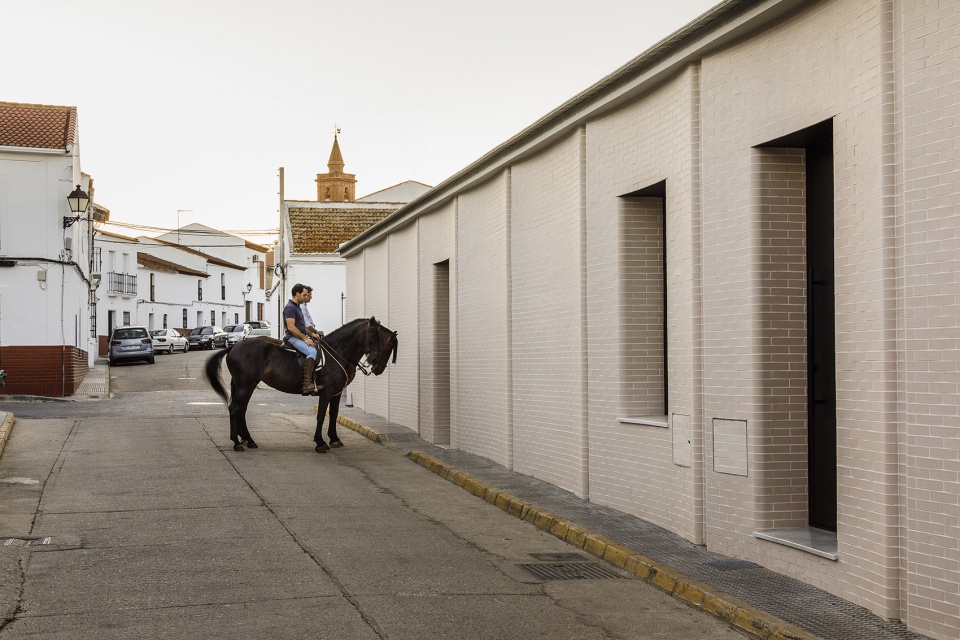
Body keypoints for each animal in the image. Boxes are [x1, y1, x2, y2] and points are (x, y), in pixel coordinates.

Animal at [202, 318, 398, 452]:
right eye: (387, 344)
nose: (378, 367)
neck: (338, 351)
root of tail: (234, 347)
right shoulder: (326, 392)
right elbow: (321, 416)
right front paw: (320, 442)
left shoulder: (335, 394)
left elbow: (333, 415)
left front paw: (334, 439)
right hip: (245, 385)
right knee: (235, 408)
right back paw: (236, 442)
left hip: (248, 385)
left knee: (241, 410)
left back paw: (248, 440)